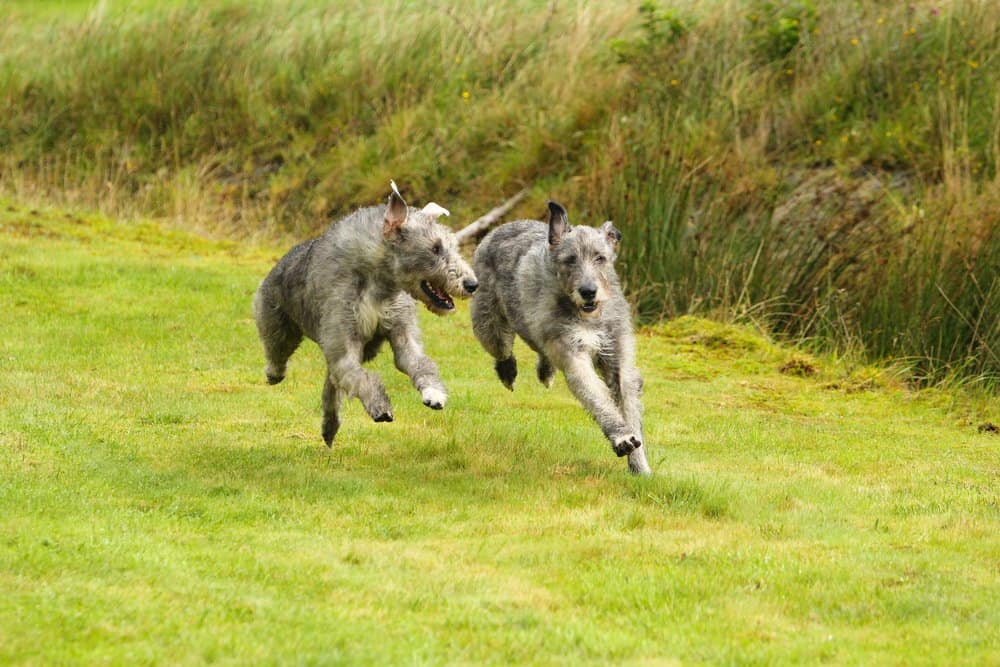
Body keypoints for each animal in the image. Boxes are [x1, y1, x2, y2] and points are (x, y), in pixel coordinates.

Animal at [256, 180, 478, 446]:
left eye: (453, 246)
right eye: (435, 248)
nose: (472, 284)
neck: (379, 282)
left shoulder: (401, 331)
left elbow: (419, 362)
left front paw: (434, 393)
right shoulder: (344, 343)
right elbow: (362, 378)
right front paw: (380, 406)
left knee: (332, 384)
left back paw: (330, 427)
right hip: (277, 324)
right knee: (279, 353)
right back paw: (274, 374)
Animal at [472, 202, 652, 474]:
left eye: (600, 257)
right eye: (570, 259)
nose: (588, 292)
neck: (589, 316)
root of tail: (501, 227)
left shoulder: (617, 355)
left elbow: (627, 397)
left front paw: (640, 466)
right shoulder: (573, 354)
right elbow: (595, 394)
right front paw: (621, 436)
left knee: (542, 351)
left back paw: (546, 371)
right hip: (489, 325)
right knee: (502, 350)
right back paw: (508, 371)